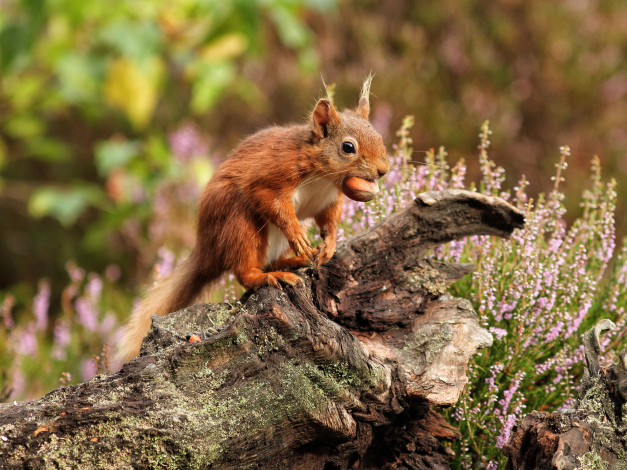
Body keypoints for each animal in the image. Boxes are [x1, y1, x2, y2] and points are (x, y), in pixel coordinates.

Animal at [119, 77, 388, 360]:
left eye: (379, 136)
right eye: (348, 147)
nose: (383, 170)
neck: (323, 177)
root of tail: (207, 248)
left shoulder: (329, 200)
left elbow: (329, 221)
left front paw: (328, 246)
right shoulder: (272, 176)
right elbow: (273, 204)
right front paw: (298, 235)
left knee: (269, 261)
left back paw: (295, 261)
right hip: (239, 223)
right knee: (245, 271)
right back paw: (271, 275)